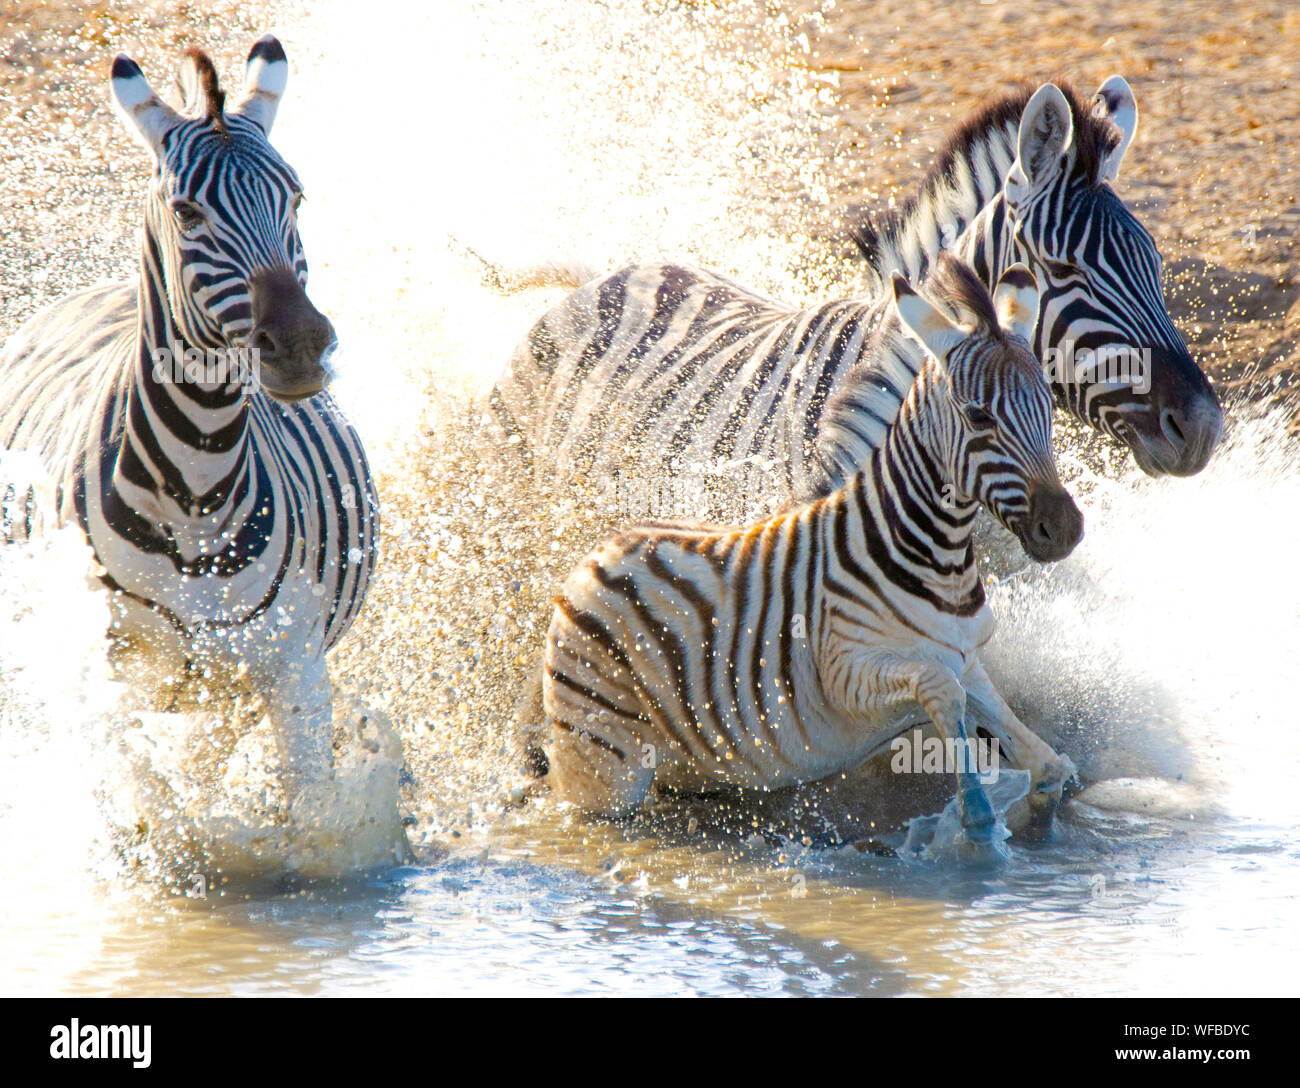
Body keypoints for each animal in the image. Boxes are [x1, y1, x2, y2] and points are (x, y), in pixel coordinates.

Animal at [0, 36, 377, 795]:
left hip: (218, 692)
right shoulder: (118, 681)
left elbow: (314, 819)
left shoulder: (292, 666)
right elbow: (148, 808)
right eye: (187, 214)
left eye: (296, 199)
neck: (198, 484)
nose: (300, 346)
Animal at [543, 257, 1081, 847]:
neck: (925, 554)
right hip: (603, 771)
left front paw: (1035, 823)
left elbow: (1047, 764)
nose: (1066, 529)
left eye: (1050, 408)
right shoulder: (845, 675)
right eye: (979, 416)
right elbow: (943, 696)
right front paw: (979, 820)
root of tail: (592, 557)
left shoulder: (966, 659)